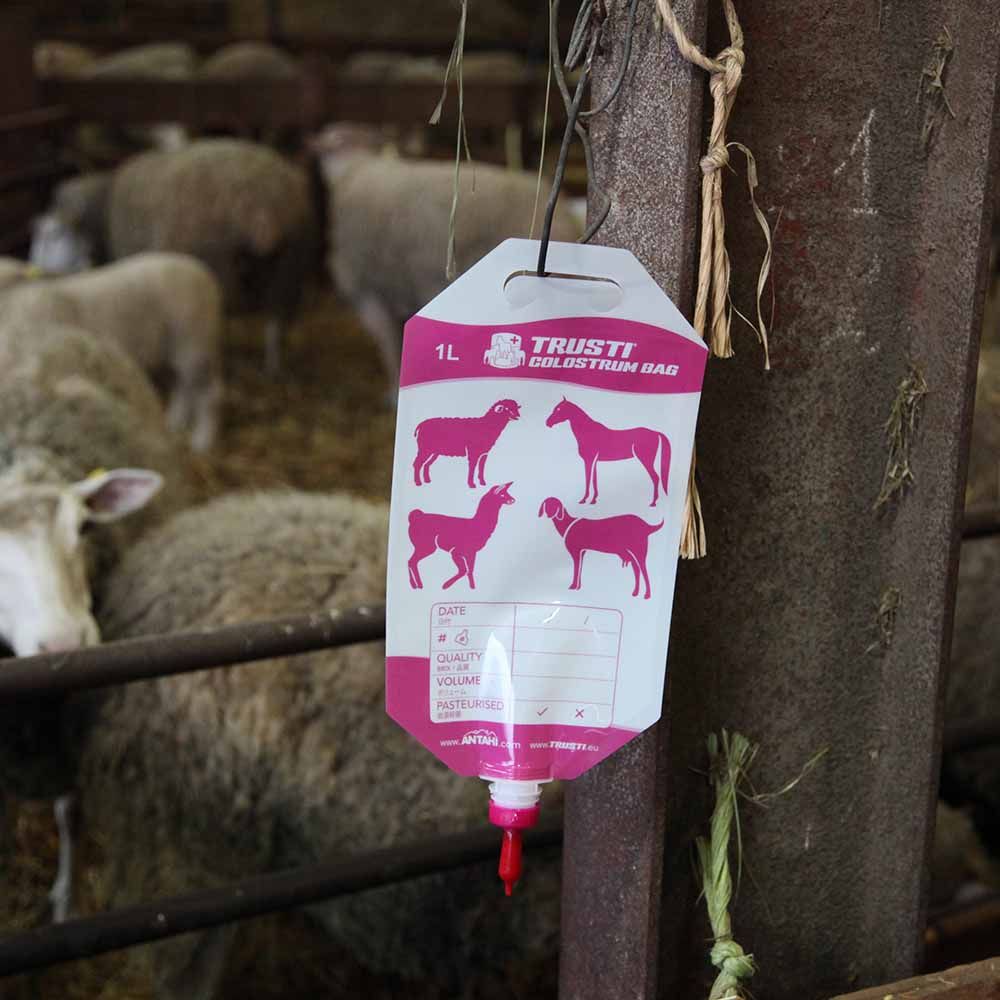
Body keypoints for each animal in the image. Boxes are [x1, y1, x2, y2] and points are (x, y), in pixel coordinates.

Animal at [1, 253, 225, 452]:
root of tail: (202, 271)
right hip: (174, 350)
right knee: (182, 386)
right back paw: (175, 423)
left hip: (193, 342)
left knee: (208, 393)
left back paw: (201, 442)